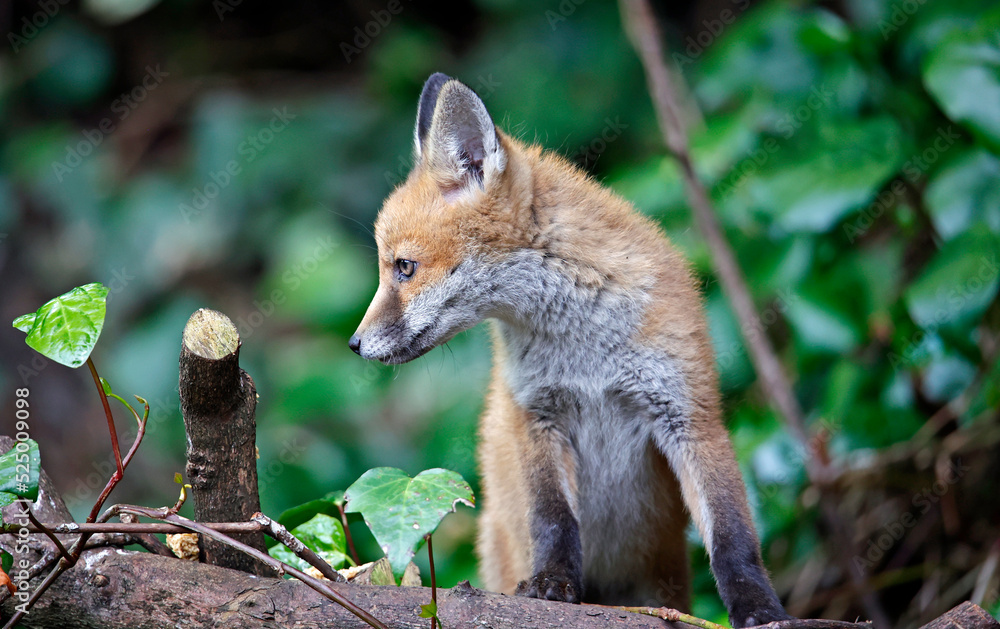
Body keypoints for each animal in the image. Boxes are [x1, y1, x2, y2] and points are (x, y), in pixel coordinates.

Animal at [349, 73, 791, 628]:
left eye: (404, 267)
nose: (355, 343)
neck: (587, 354)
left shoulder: (689, 414)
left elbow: (734, 536)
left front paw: (759, 607)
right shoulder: (536, 415)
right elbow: (554, 521)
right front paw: (551, 584)